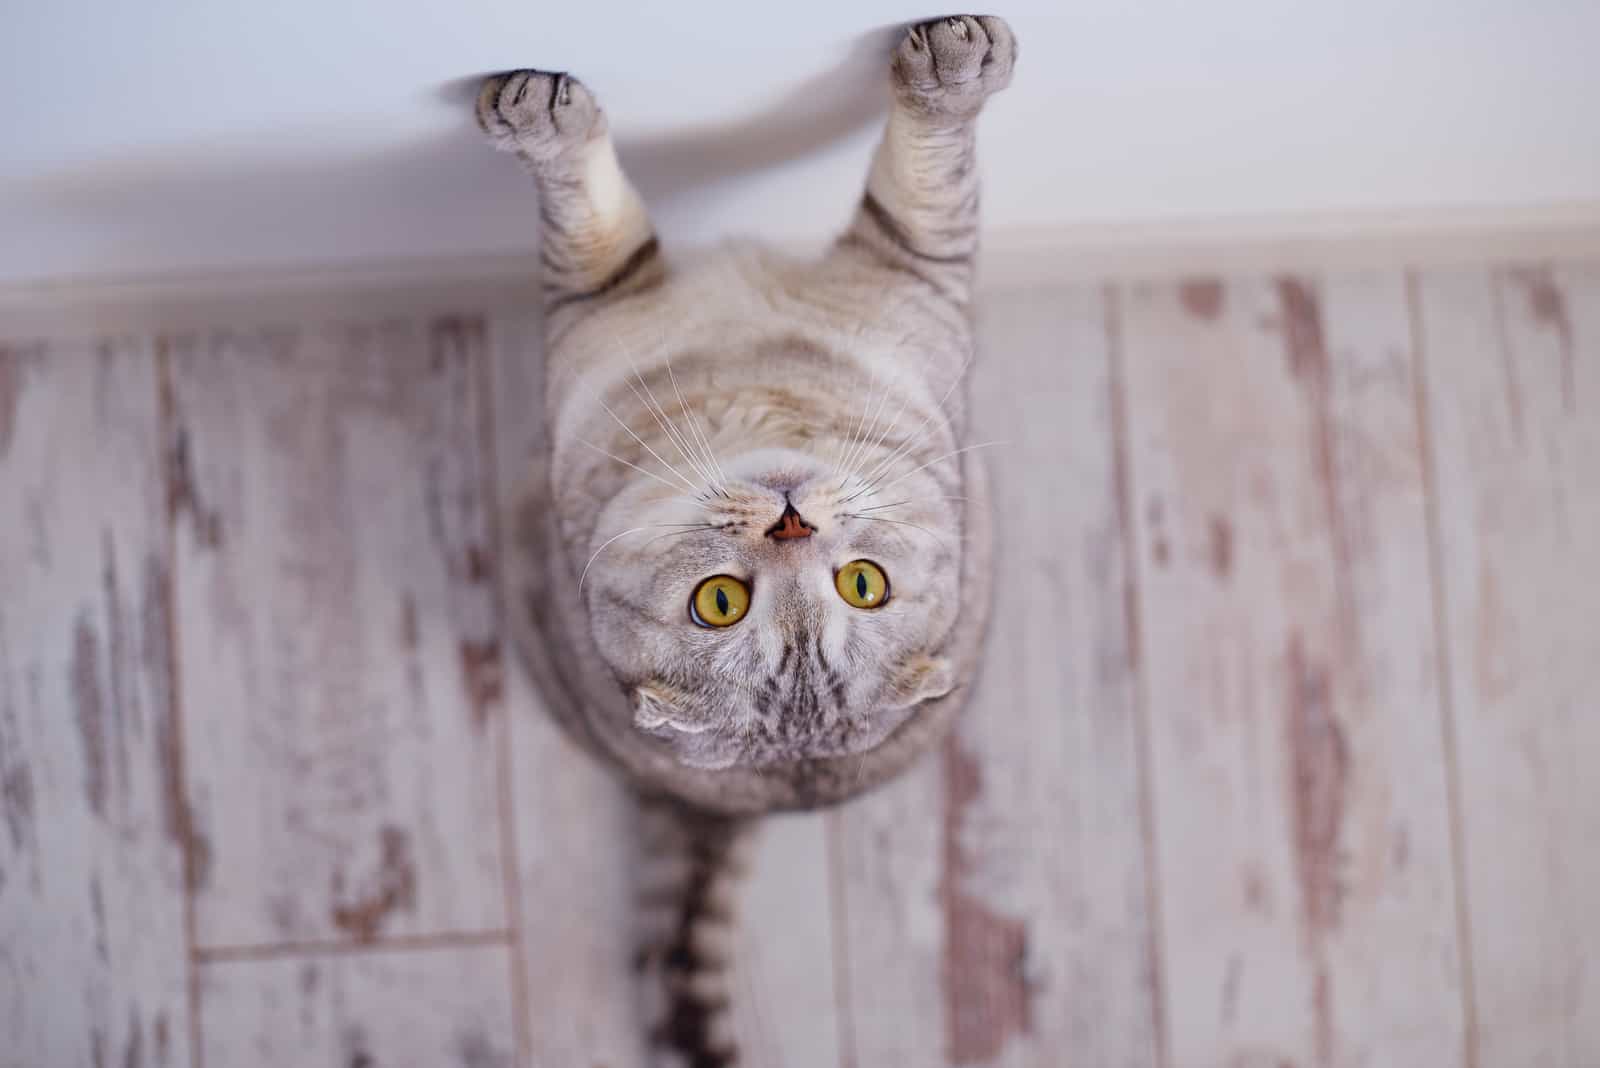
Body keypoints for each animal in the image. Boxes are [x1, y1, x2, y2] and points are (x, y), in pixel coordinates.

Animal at [480, 14, 1017, 1061]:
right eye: (721, 603)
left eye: (862, 585)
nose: (791, 521)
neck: (755, 390)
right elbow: (591, 215)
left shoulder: (912, 271)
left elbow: (928, 173)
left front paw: (953, 70)